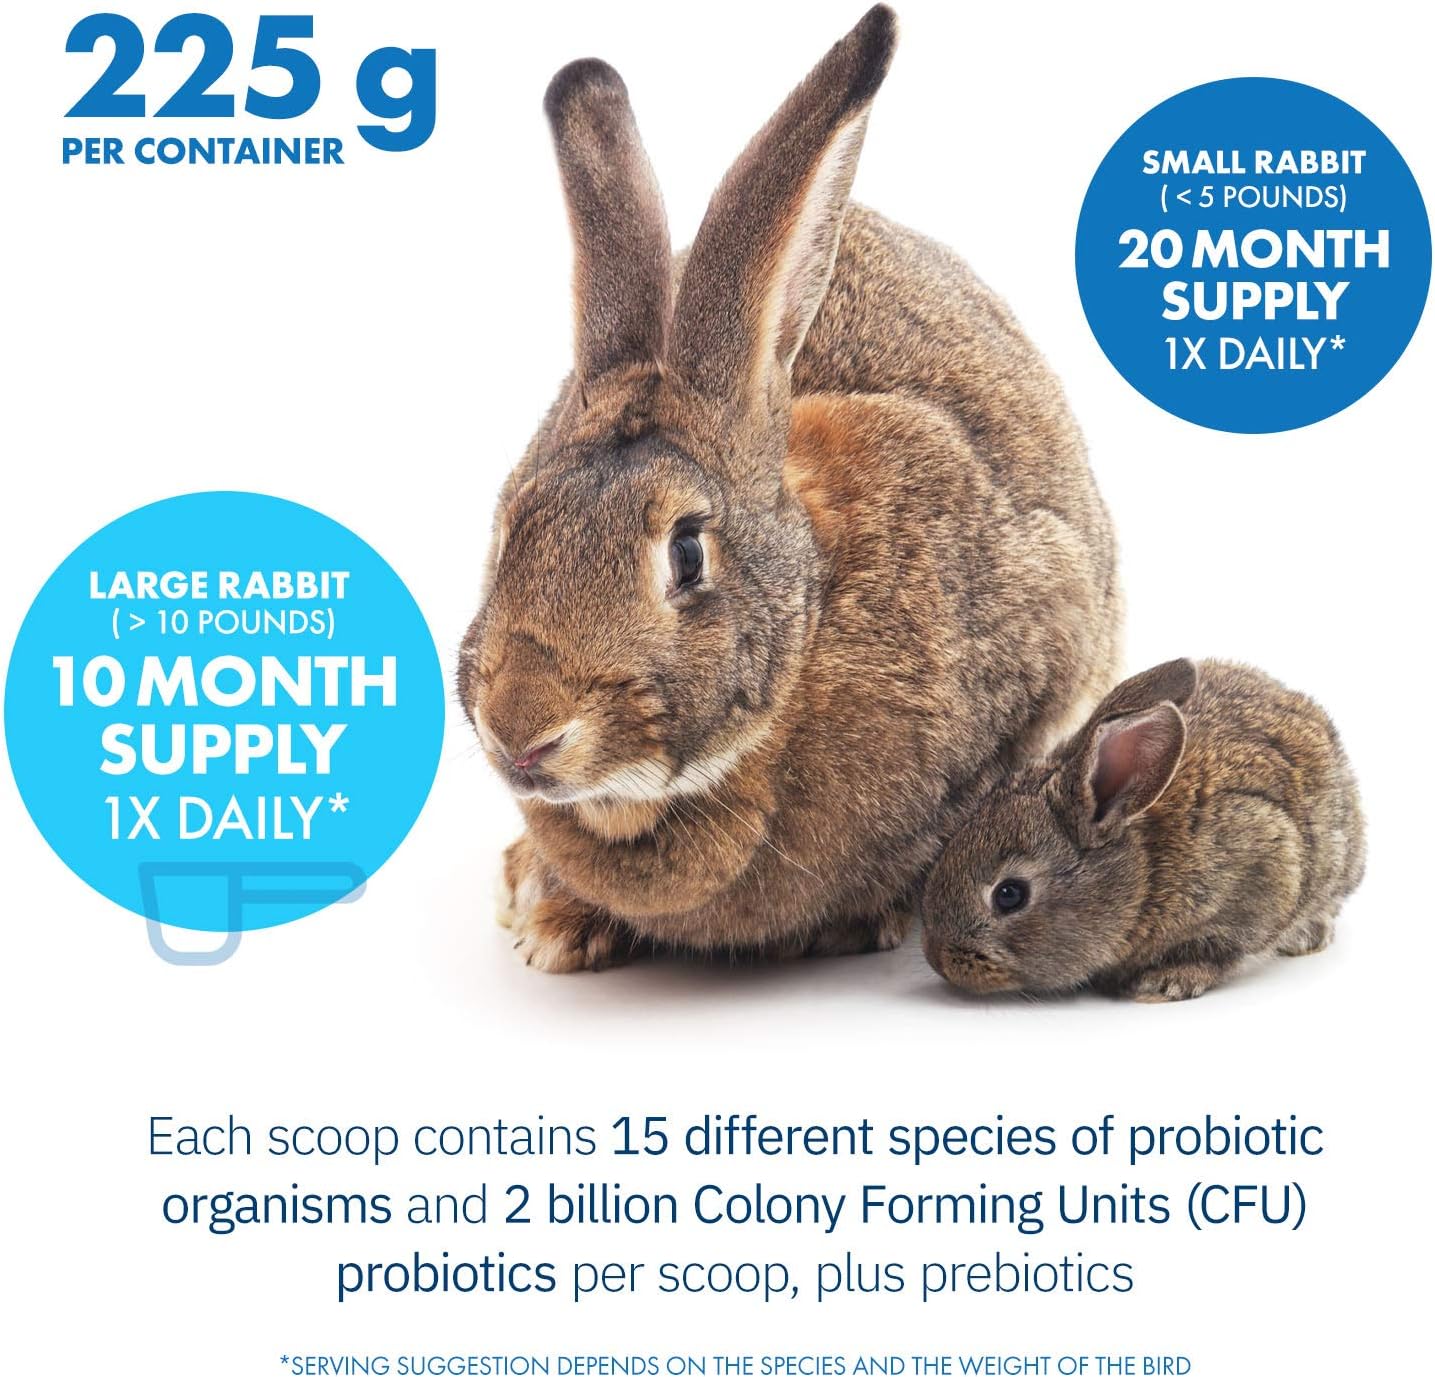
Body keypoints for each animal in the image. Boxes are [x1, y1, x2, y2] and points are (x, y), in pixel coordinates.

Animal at [920, 658, 1366, 1001]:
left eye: (1009, 895)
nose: (938, 959)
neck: (1144, 872)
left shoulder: (1262, 868)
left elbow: (1221, 951)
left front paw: (1165, 983)